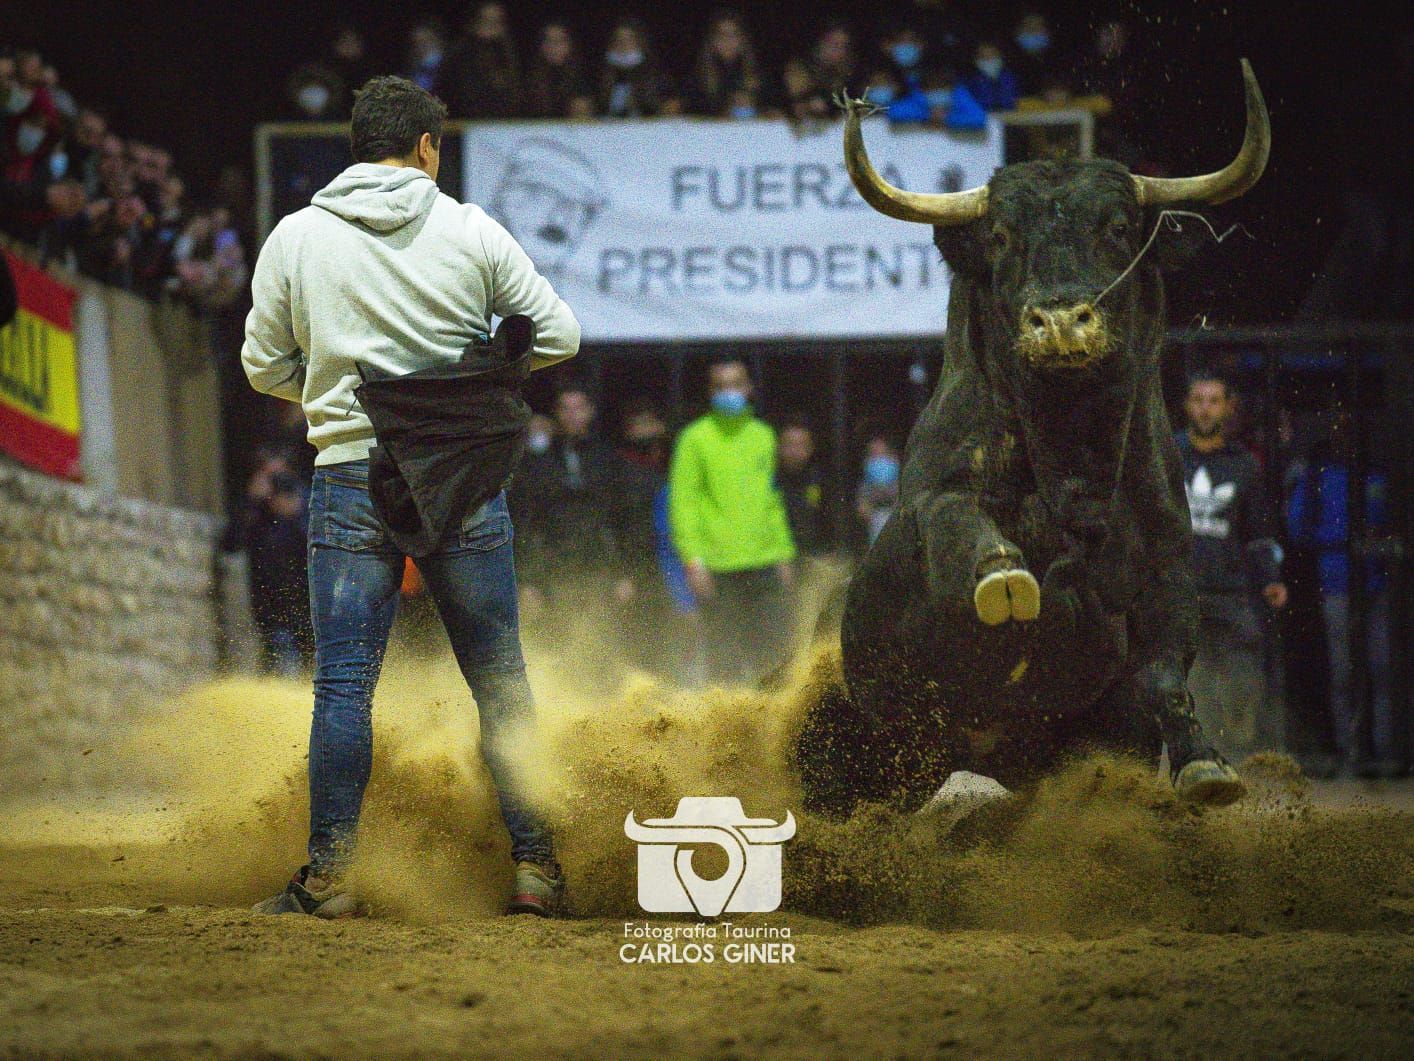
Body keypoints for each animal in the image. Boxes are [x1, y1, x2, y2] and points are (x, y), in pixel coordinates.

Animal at [797, 62, 1272, 820]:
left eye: (1117, 227)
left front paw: (1206, 764)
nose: (1059, 321)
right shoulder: (937, 505)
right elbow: (966, 529)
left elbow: (1166, 671)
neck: (1069, 460)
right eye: (1000, 237)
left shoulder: (1168, 564)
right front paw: (1004, 578)